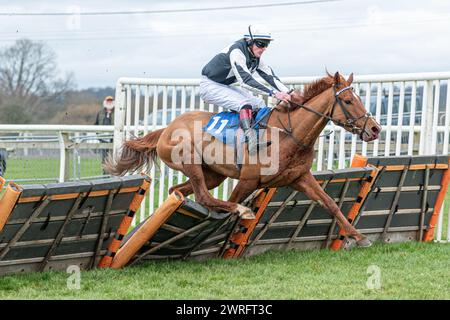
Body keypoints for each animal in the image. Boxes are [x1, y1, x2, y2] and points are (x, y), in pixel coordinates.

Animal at [107, 72, 382, 248]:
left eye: (358, 98)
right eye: (348, 101)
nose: (375, 129)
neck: (288, 133)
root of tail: (166, 128)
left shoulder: (301, 177)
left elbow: (330, 203)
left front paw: (358, 237)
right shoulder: (248, 181)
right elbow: (232, 203)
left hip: (213, 174)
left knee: (180, 190)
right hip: (191, 162)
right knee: (205, 197)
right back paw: (239, 210)